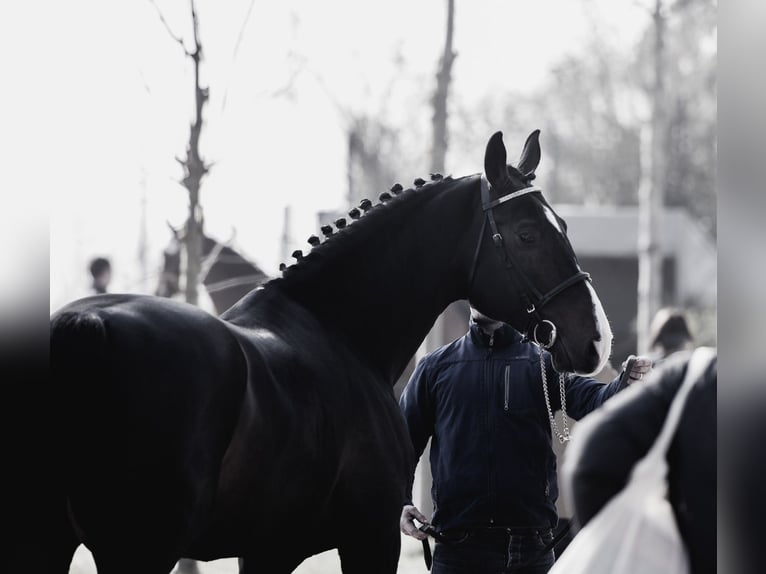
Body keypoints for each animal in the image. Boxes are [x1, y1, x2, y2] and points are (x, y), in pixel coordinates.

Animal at [46, 132, 612, 574]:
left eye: (562, 226)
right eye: (527, 234)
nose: (597, 339)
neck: (340, 332)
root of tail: (85, 326)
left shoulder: (269, 550)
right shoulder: (370, 539)